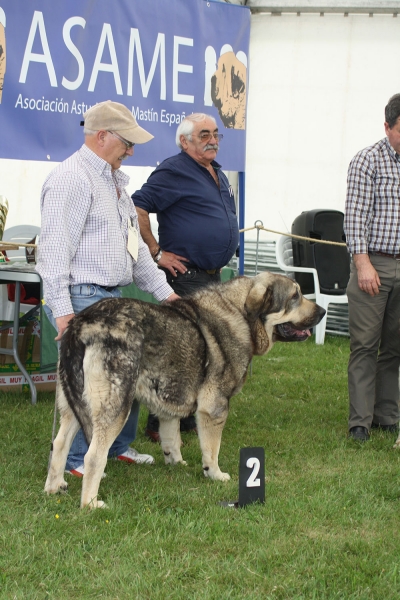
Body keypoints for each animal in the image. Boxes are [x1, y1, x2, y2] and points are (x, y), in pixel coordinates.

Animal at [44, 274, 324, 508]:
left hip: (73, 407)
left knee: (59, 444)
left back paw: (53, 487)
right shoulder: (214, 408)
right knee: (93, 457)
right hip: (115, 407)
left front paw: (176, 463)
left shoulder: (168, 403)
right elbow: (211, 449)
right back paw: (90, 504)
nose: (322, 311)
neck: (241, 314)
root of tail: (81, 324)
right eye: (295, 296)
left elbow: (171, 437)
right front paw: (214, 474)